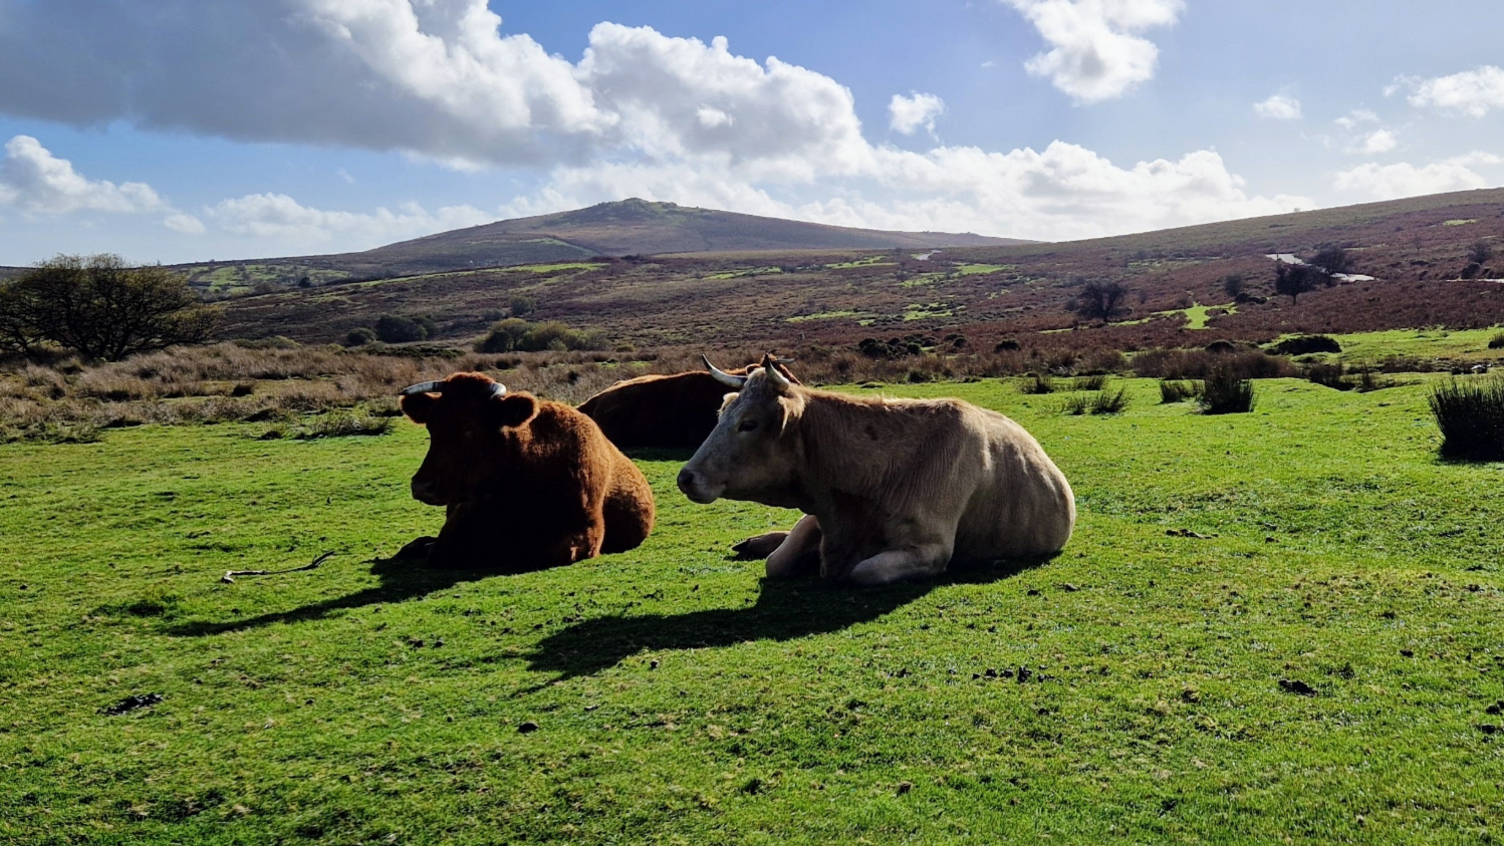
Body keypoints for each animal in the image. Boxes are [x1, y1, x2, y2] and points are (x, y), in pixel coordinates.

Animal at [676, 352, 1076, 584]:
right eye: (721, 413)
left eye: (749, 423)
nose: (685, 477)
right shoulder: (819, 517)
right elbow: (778, 560)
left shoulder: (929, 548)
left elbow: (863, 571)